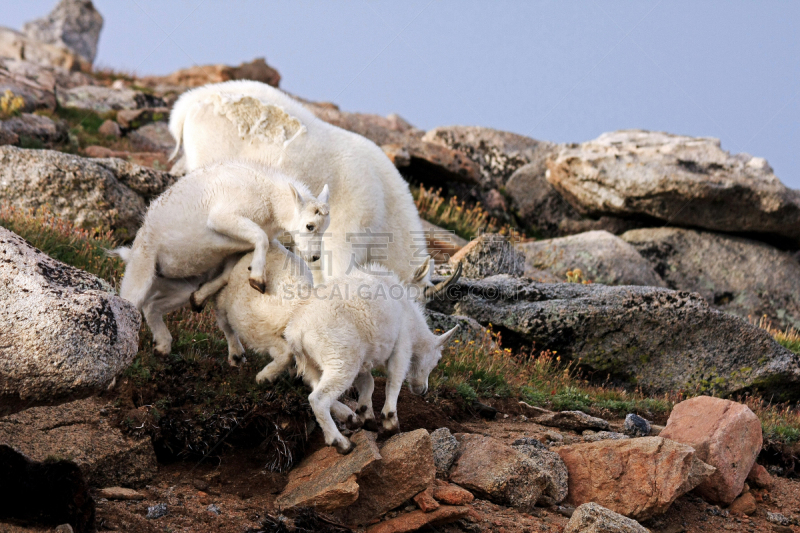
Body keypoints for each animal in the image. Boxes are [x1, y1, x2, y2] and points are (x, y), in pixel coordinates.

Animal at [115, 160, 328, 356]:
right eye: (310, 226)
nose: (314, 257)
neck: (271, 200)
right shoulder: (223, 219)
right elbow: (260, 237)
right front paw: (258, 280)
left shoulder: (236, 249)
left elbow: (227, 274)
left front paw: (199, 300)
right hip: (141, 269)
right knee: (130, 305)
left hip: (180, 286)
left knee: (152, 307)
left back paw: (163, 347)